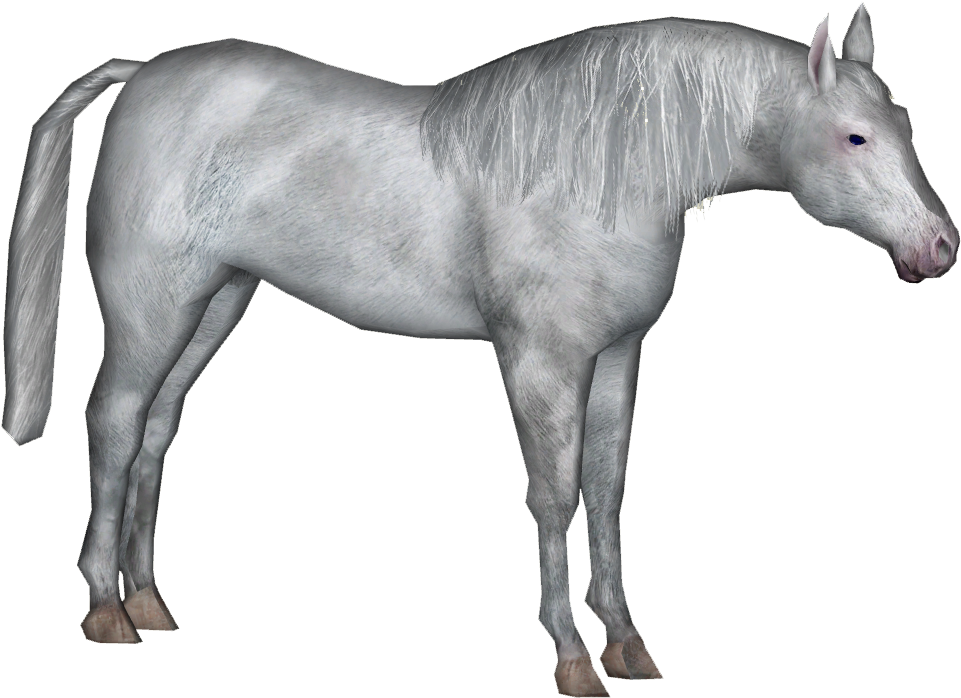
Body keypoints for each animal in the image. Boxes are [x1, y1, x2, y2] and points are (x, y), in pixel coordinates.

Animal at [2, 3, 955, 694]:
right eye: (854, 137)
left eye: (905, 124)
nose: (940, 250)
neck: (600, 168)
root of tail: (143, 73)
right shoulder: (538, 362)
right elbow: (554, 498)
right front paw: (572, 657)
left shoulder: (617, 359)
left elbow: (607, 498)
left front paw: (627, 644)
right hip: (151, 309)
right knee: (114, 424)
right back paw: (105, 610)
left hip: (214, 305)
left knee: (155, 434)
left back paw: (149, 601)